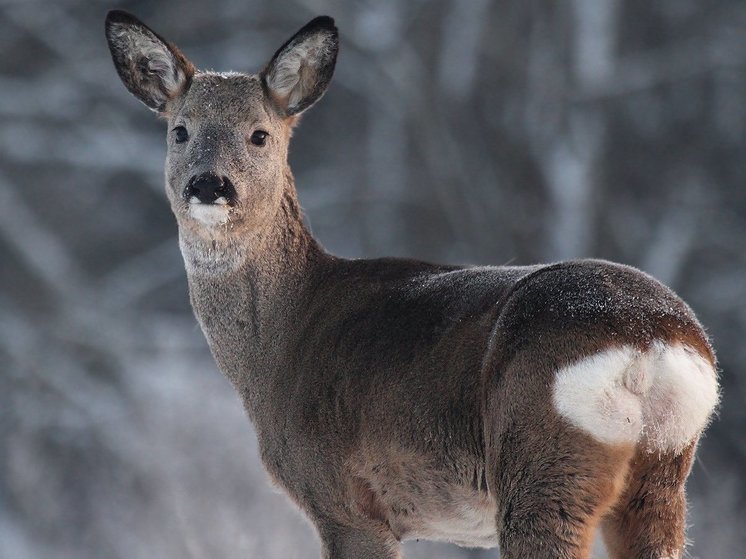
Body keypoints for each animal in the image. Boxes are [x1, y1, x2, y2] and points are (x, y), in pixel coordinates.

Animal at [104, 10, 716, 556]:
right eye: (180, 131)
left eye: (259, 135)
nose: (210, 186)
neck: (282, 339)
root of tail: (650, 339)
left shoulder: (345, 501)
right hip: (661, 477)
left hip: (544, 458)